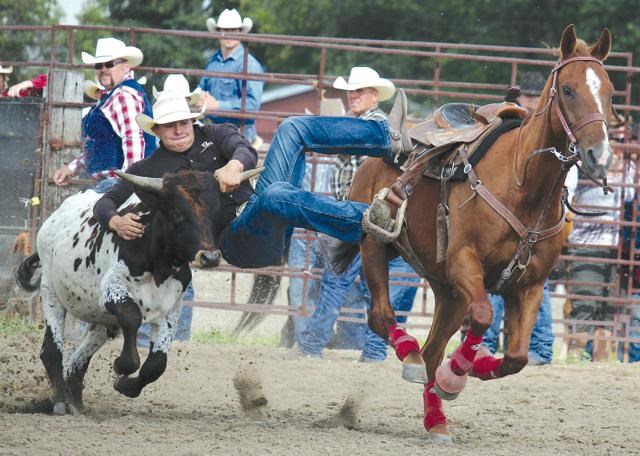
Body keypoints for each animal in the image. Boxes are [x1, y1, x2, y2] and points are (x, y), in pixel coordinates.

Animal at [344, 25, 616, 442]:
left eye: (610, 91)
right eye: (568, 89)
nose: (599, 156)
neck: (523, 184)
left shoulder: (529, 286)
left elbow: (517, 357)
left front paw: (465, 372)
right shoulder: (464, 265)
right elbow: (486, 316)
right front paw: (455, 376)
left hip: (447, 291)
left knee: (433, 347)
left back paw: (436, 418)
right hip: (375, 245)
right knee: (382, 317)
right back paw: (411, 359)